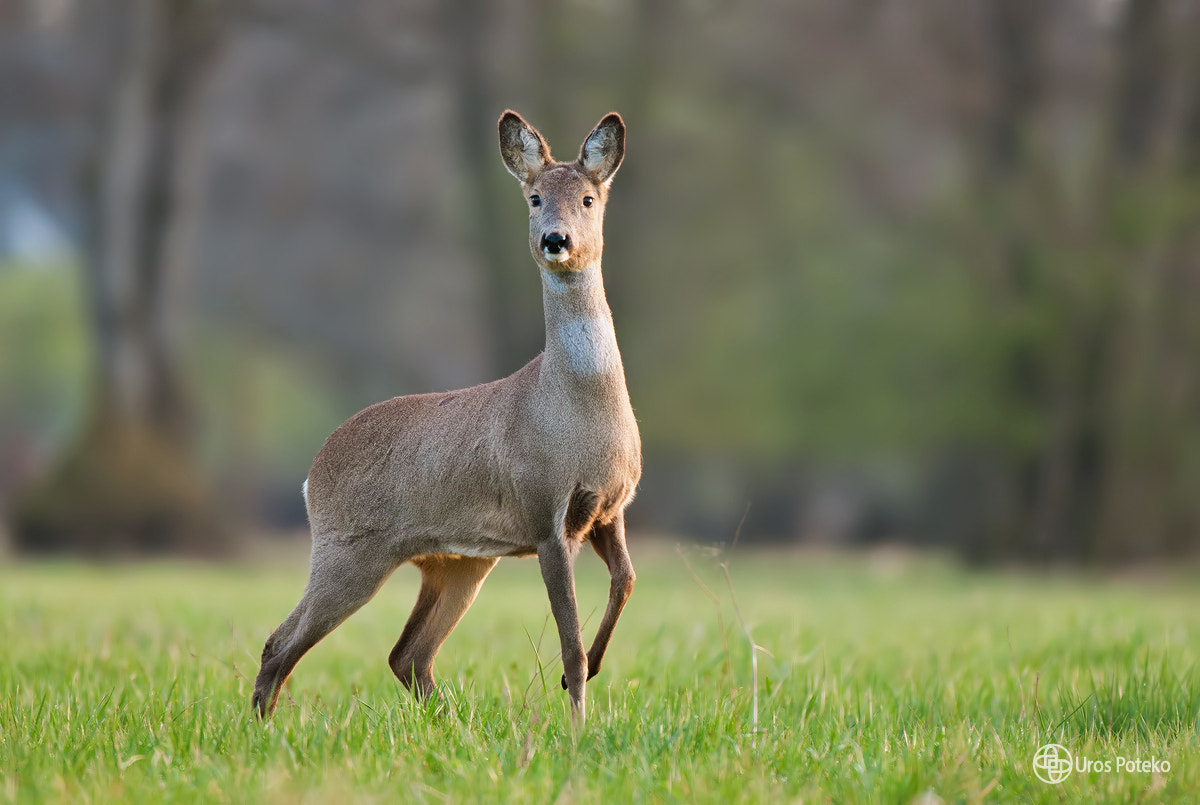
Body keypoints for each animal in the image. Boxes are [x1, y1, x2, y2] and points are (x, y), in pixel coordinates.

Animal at [252, 111, 641, 725]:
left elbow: (625, 581)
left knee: (407, 654)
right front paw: (578, 722)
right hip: (347, 548)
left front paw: (591, 676)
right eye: (534, 198)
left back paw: (452, 725)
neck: (578, 408)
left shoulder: (609, 508)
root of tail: (311, 477)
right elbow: (570, 643)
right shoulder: (544, 514)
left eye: (587, 198)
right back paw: (269, 729)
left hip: (455, 562)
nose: (555, 239)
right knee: (281, 643)